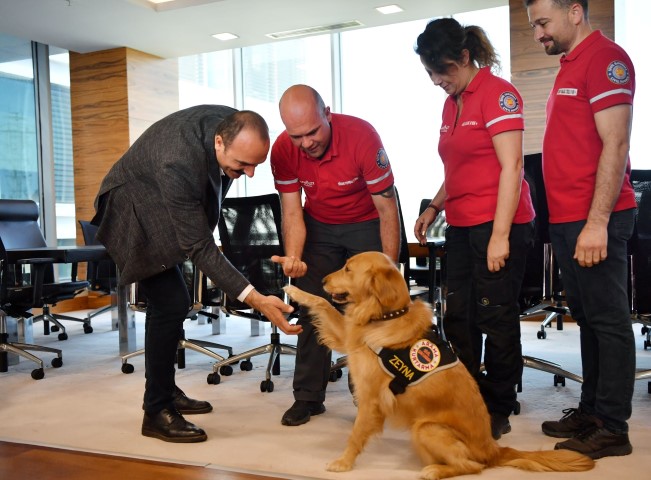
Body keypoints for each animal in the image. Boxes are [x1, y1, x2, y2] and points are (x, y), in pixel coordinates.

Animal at [286, 253, 596, 478]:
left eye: (348, 269)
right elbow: (323, 304)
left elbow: (355, 434)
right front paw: (295, 290)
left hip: (427, 427)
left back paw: (433, 470)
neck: (385, 316)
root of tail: (494, 449)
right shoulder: (349, 337)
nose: (323, 279)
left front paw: (343, 462)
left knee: (473, 467)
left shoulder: (372, 398)